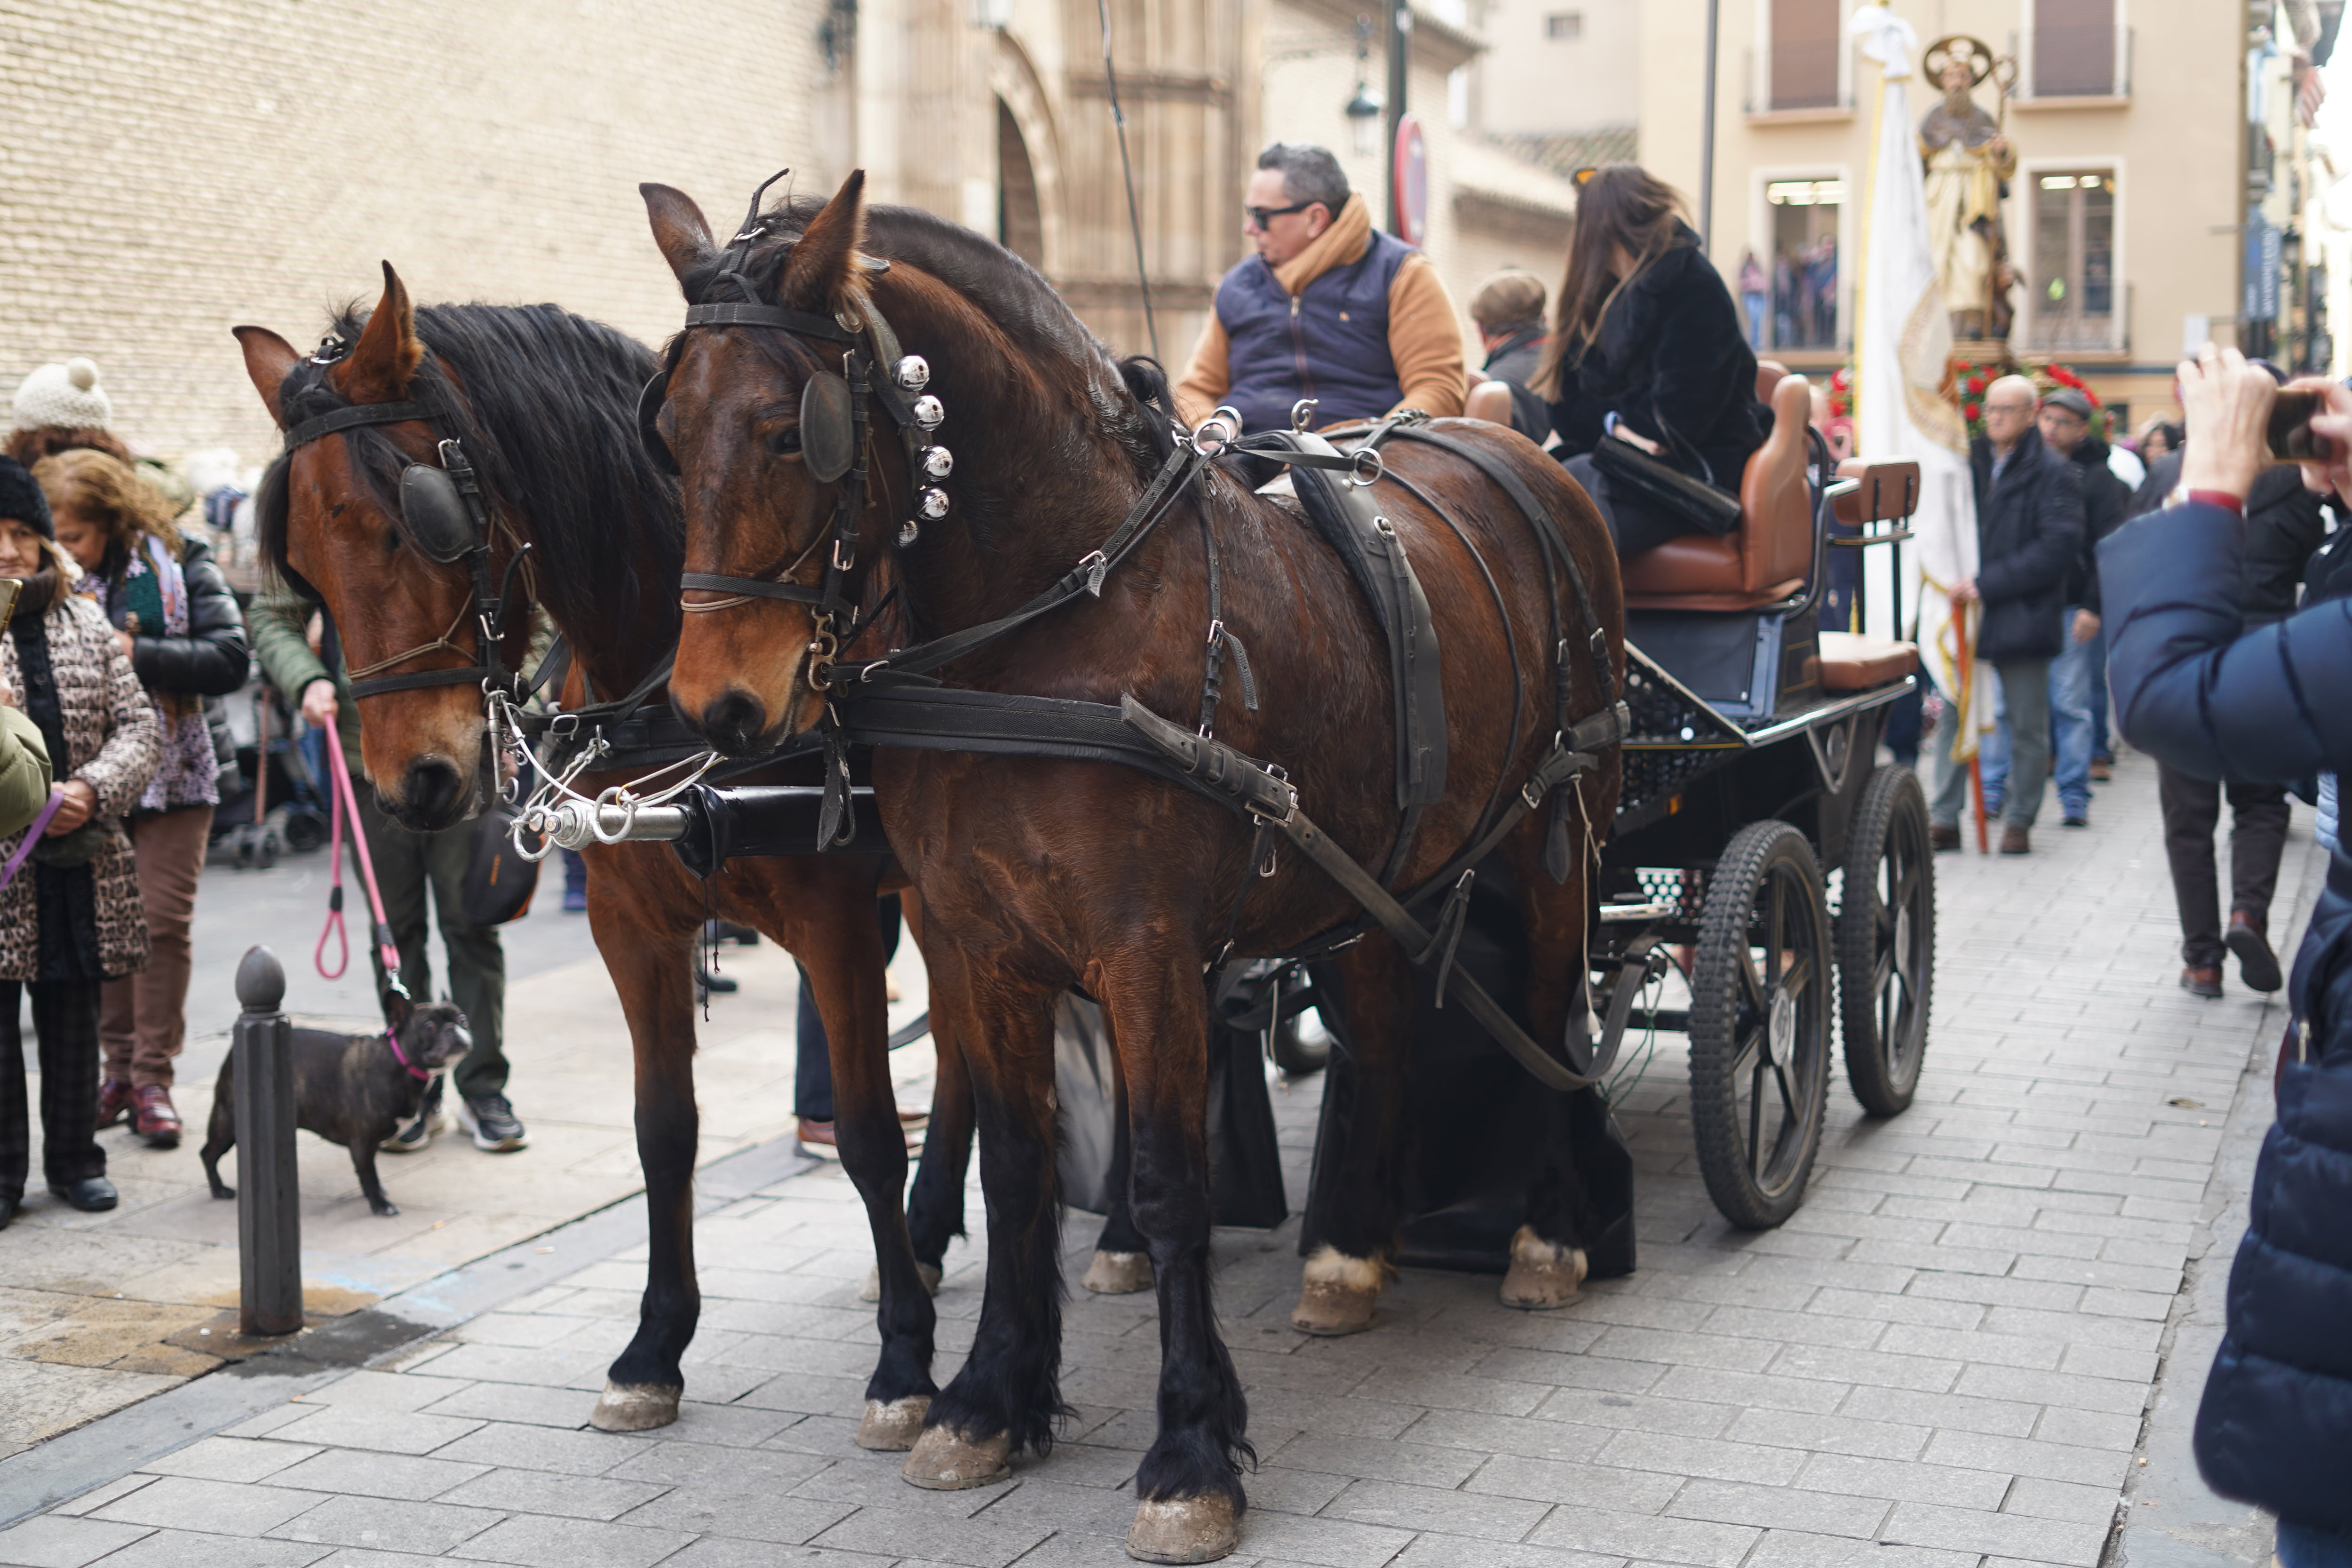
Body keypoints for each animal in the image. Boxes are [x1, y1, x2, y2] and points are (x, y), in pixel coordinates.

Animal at [231, 276, 974, 1457]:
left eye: (410, 520)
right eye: (298, 562)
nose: (415, 786)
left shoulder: (840, 925)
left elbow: (864, 1132)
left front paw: (903, 1362)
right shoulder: (631, 927)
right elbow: (662, 1132)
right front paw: (654, 1348)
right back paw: (938, 1230)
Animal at [644, 177, 1628, 1561]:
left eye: (796, 434)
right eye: (669, 434)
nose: (716, 708)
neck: (1049, 634)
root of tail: (1525, 459)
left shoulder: (1146, 951)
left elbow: (1168, 1189)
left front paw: (1190, 1450)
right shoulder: (976, 941)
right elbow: (1014, 1162)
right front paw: (986, 1397)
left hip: (1557, 829)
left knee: (1547, 1011)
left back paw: (1547, 1233)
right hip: (1387, 863)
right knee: (1386, 1027)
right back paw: (1349, 1253)